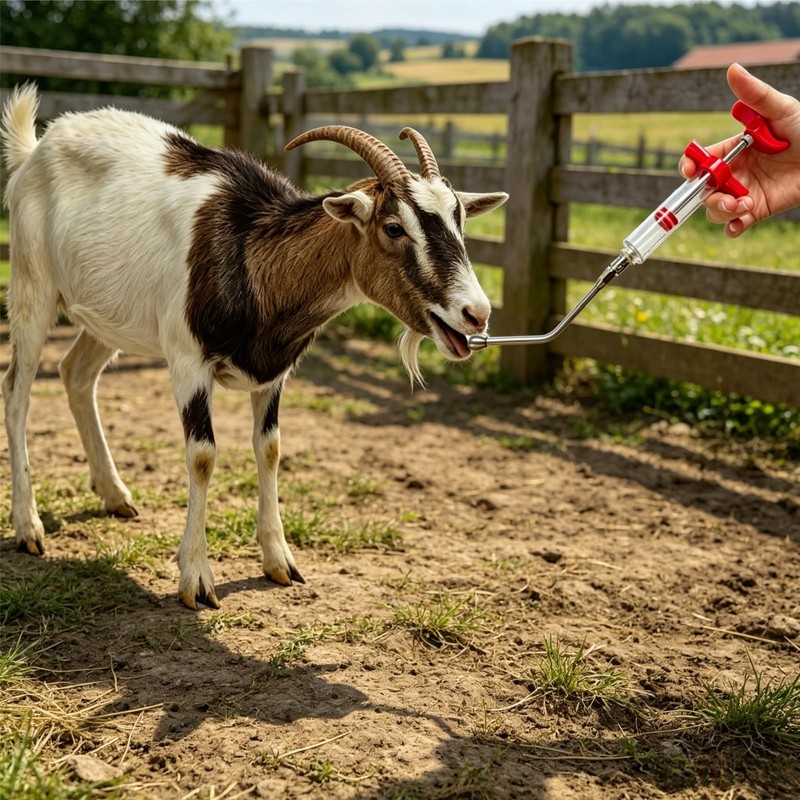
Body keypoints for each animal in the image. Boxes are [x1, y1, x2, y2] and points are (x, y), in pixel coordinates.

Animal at [1, 85, 508, 609]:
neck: (252, 253)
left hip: (109, 317)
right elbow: (202, 456)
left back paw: (115, 495)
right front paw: (196, 579)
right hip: (33, 286)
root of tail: (35, 150)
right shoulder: (187, 361)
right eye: (393, 227)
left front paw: (279, 561)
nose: (476, 313)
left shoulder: (273, 371)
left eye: (460, 221)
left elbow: (270, 448)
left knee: (76, 374)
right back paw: (28, 526)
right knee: (17, 390)